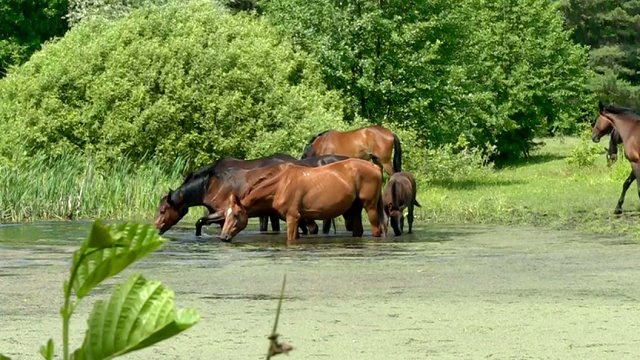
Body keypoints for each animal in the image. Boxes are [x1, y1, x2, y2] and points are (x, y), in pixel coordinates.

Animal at [215, 159, 388, 246]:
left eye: (236, 214)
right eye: (226, 215)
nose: (223, 237)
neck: (281, 185)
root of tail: (374, 166)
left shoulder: (292, 218)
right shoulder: (296, 220)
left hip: (370, 207)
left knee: (376, 230)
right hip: (355, 209)